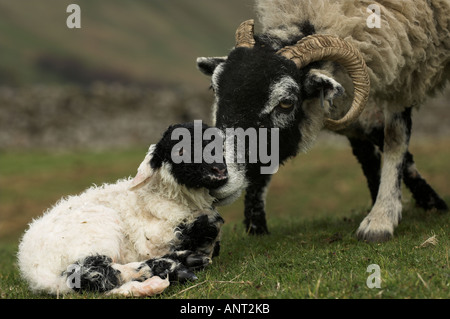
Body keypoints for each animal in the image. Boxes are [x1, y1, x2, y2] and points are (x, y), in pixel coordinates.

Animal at [17, 122, 229, 298]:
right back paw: (168, 269)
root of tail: (35, 272)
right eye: (181, 150)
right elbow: (209, 224)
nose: (219, 170)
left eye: (219, 146)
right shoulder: (152, 241)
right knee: (89, 273)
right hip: (97, 230)